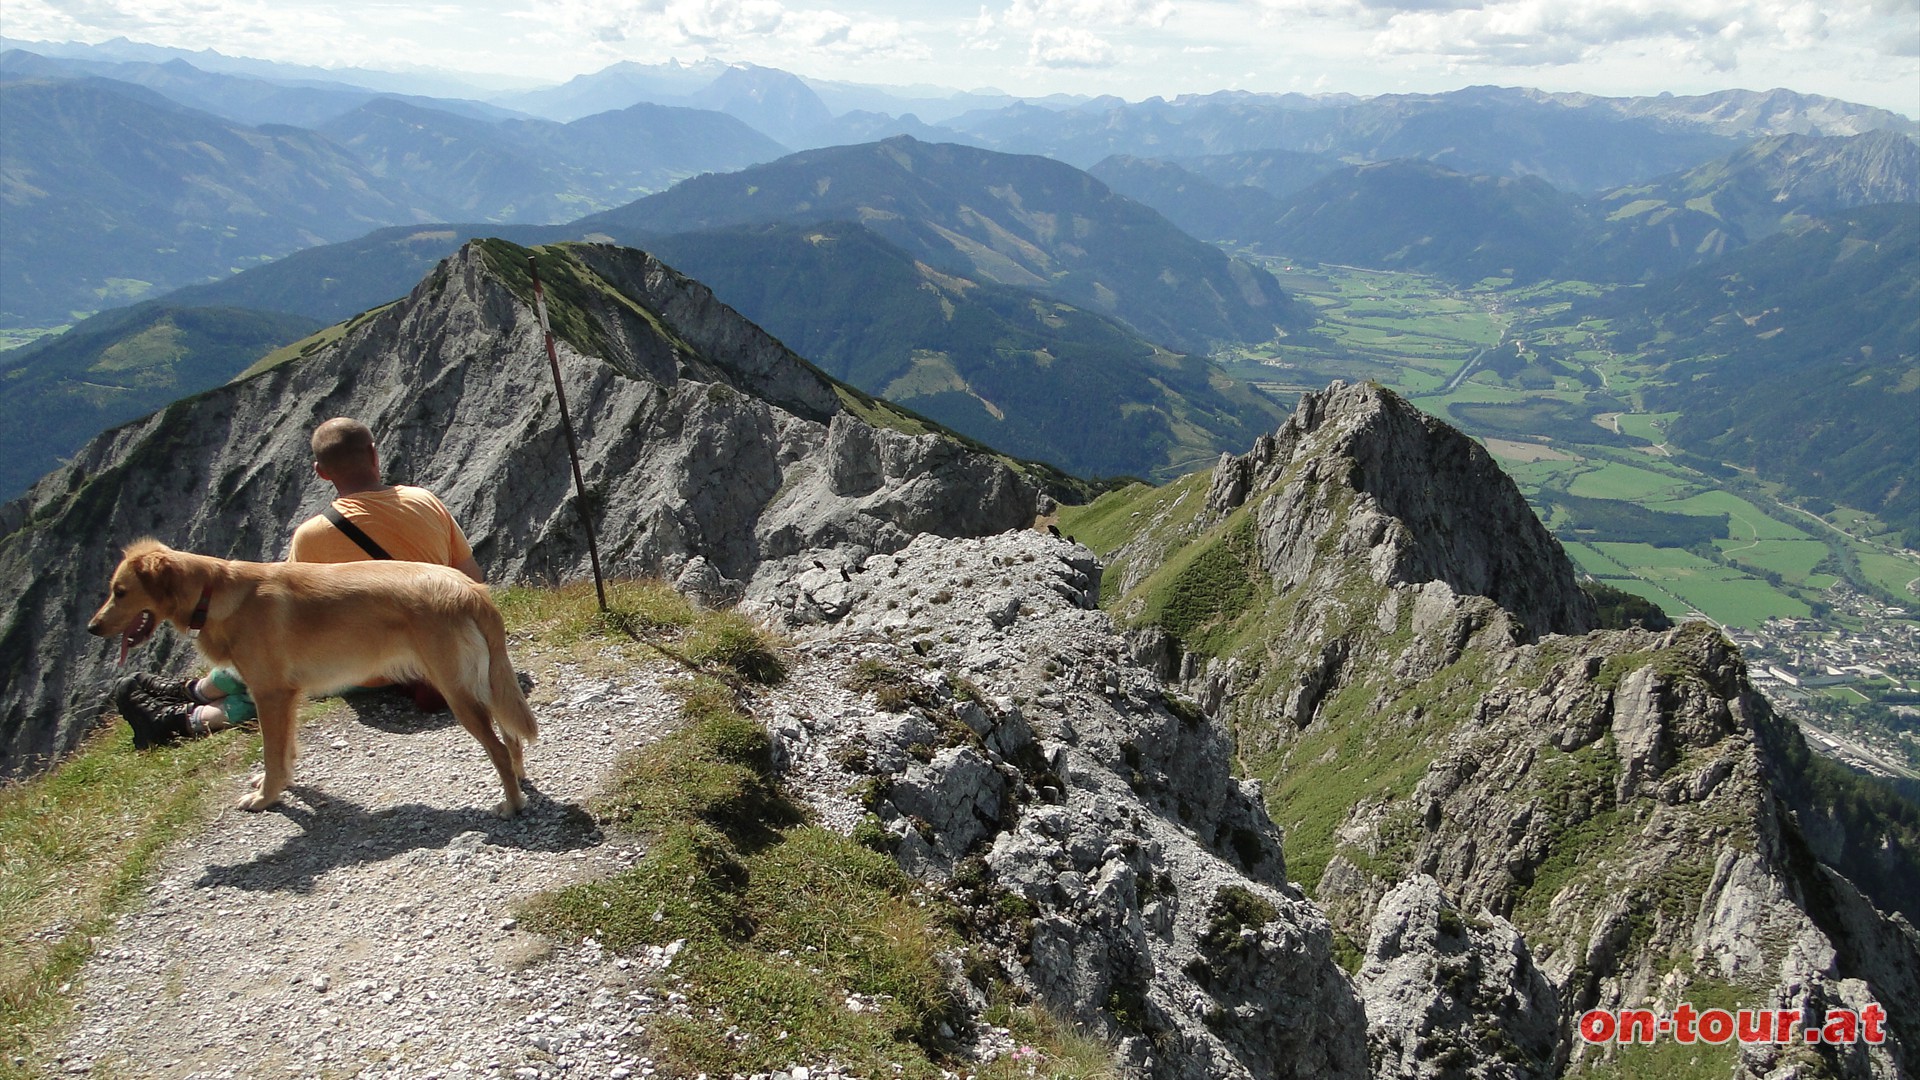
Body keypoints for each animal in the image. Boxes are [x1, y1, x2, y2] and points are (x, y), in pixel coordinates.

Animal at [87, 538, 541, 814]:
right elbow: (284, 753)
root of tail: (470, 590)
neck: (213, 594)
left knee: (498, 748)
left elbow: (272, 754)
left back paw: (512, 805)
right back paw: (519, 781)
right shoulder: (285, 697)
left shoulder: (269, 694)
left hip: (458, 692)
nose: (92, 628)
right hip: (484, 683)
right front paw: (279, 786)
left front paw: (266, 798)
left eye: (120, 591)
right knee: (511, 736)